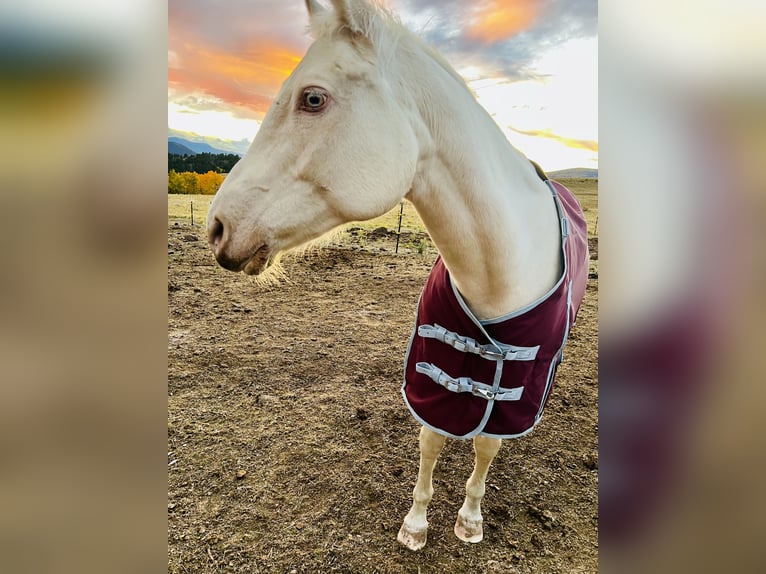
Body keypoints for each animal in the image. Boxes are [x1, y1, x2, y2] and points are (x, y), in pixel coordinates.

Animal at [206, 0, 588, 551]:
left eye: (313, 98)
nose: (216, 226)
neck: (495, 273)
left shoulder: (519, 386)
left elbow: (487, 448)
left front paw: (470, 517)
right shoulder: (435, 371)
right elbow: (431, 440)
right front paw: (417, 524)